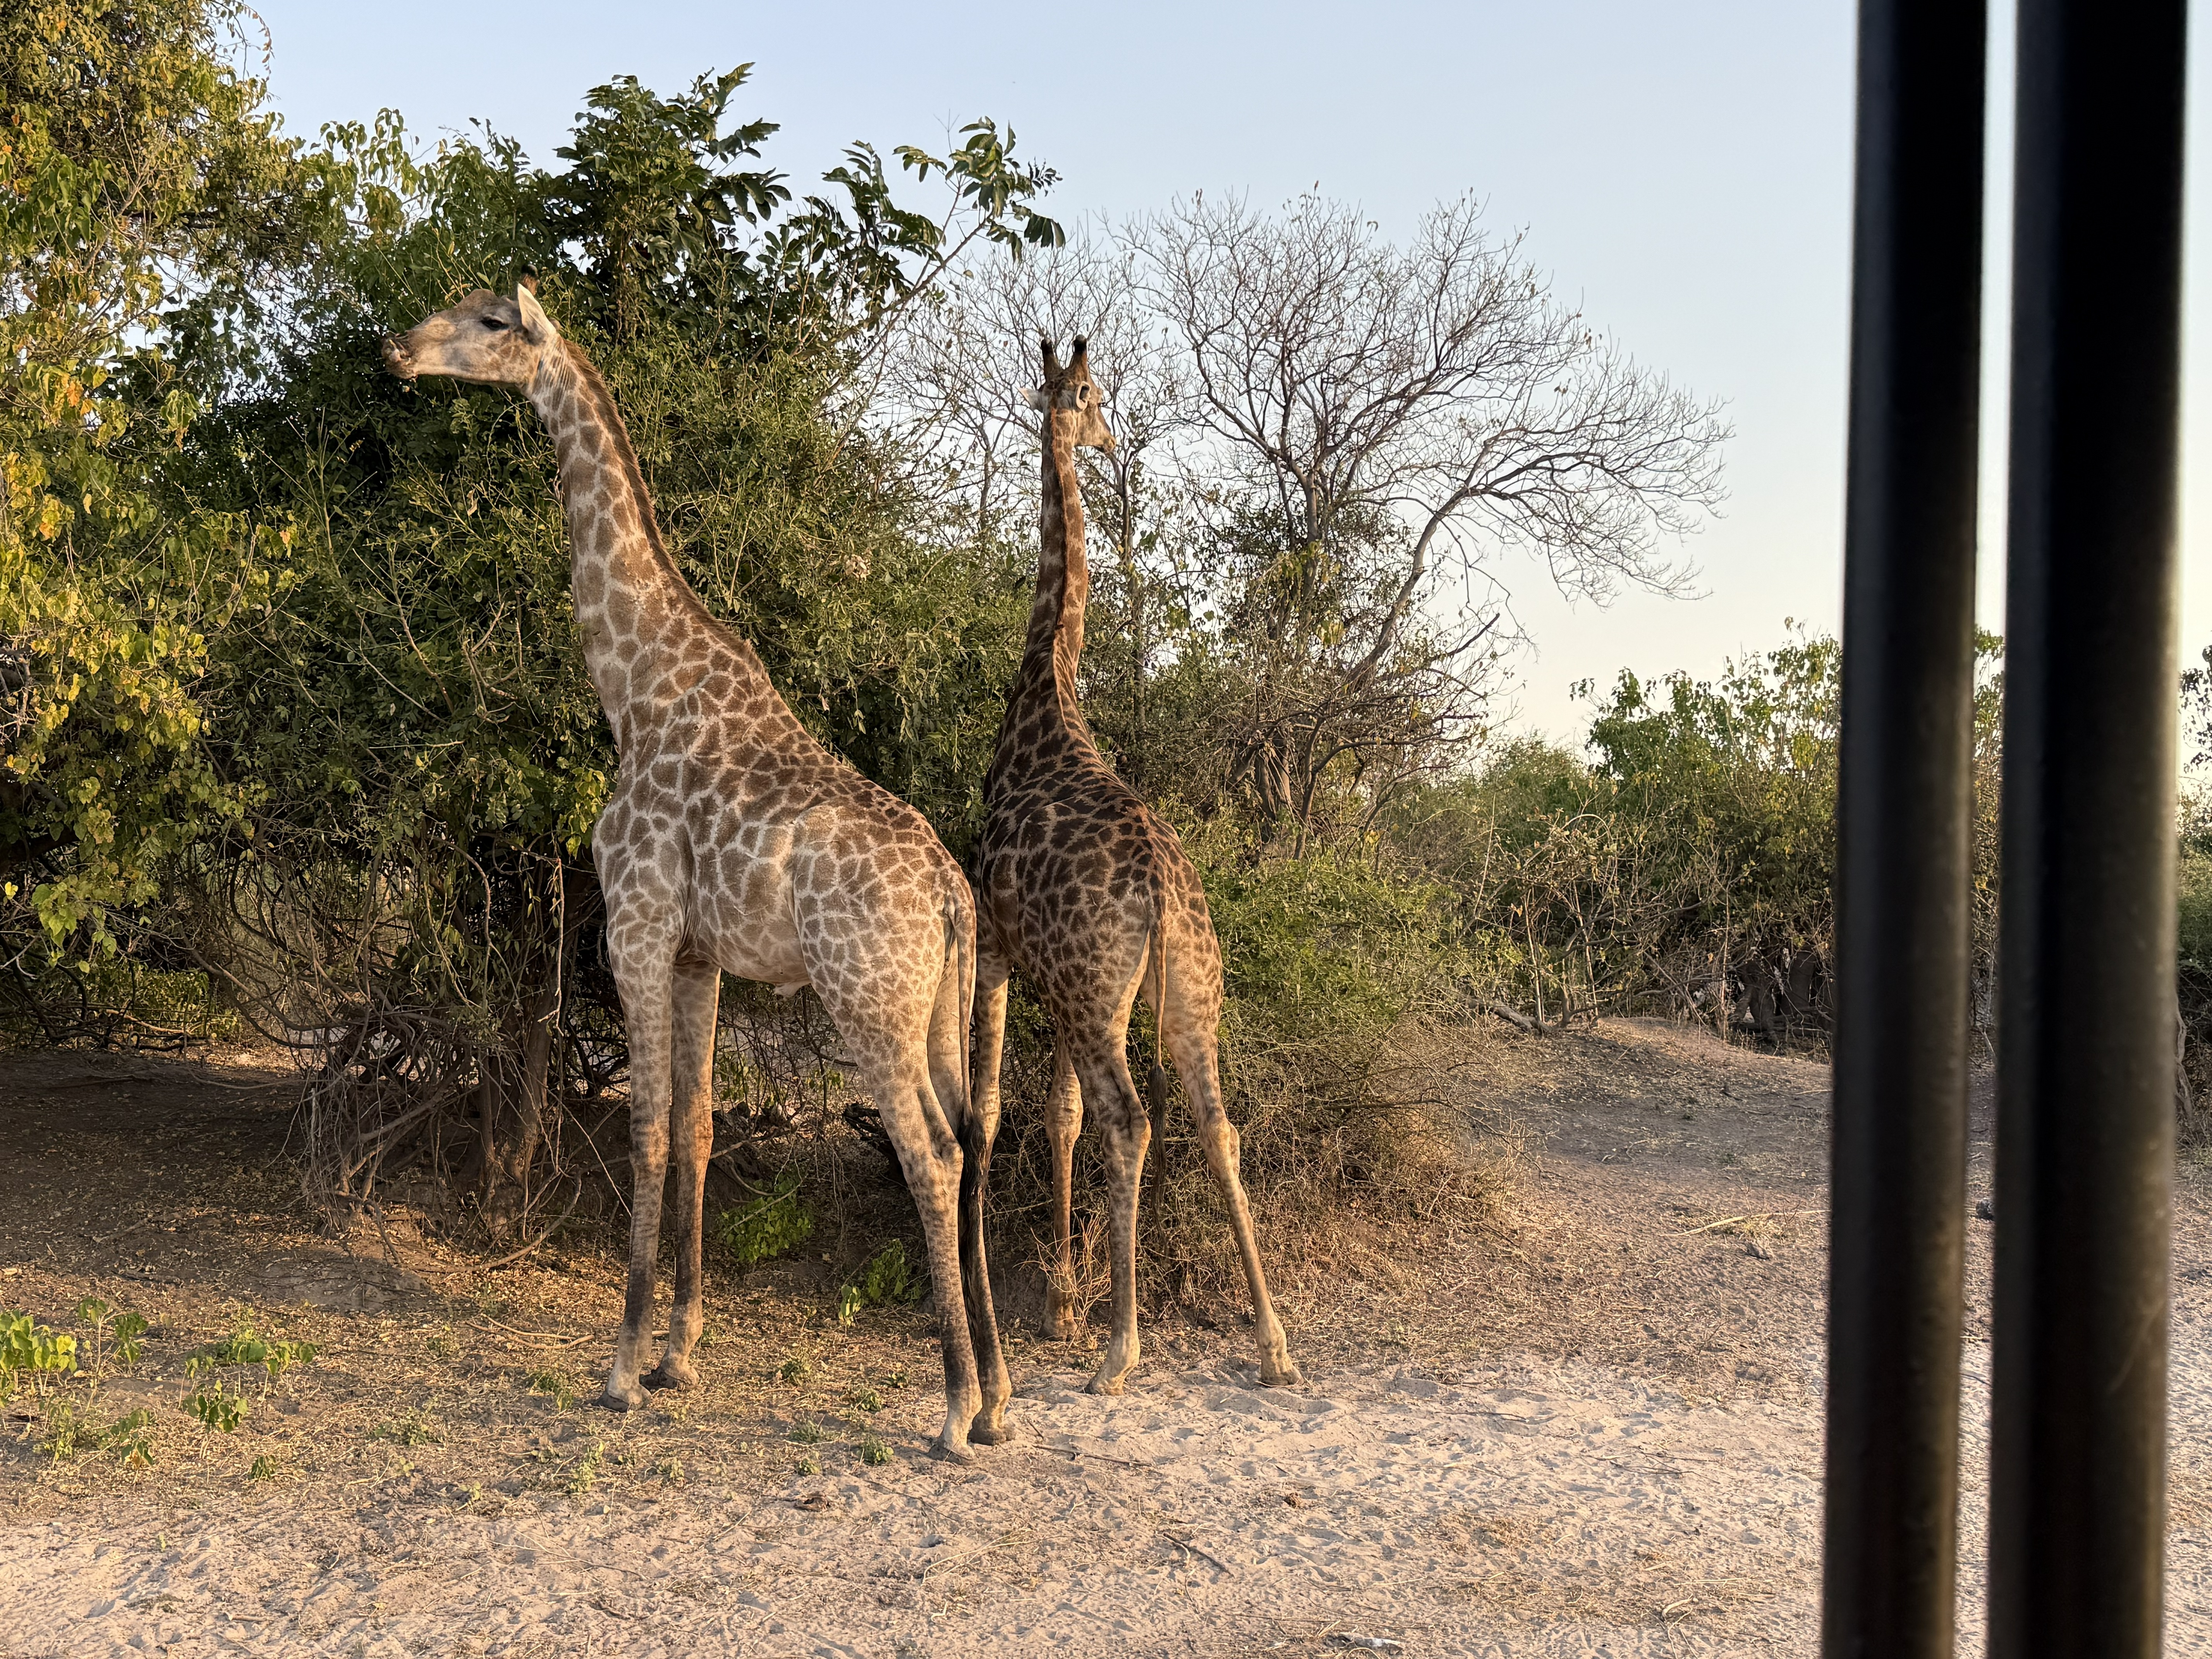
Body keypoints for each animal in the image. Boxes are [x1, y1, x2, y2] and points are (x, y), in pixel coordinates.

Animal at [383, 285, 1004, 1459]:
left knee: (933, 1155)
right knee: (973, 1139)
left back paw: (951, 1410)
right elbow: (703, 1125)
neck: (632, 688)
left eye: (489, 321)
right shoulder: (699, 954)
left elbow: (646, 1127)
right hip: (941, 1007)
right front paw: (680, 1351)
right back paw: (995, 1397)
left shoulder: (634, 925)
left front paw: (622, 1369)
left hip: (868, 1001)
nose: (396, 349)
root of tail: (952, 896)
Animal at [965, 335, 1299, 1428]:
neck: (1048, 692)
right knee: (1215, 1124)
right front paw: (1064, 1297)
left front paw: (1056, 1300)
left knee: (1132, 1120)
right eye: (1093, 397)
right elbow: (1055, 1114)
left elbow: (992, 1110)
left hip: (1099, 994)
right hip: (1187, 993)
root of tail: (1158, 891)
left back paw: (1122, 1350)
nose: (1110, 441)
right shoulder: (1058, 978)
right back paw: (1274, 1345)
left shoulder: (999, 945)